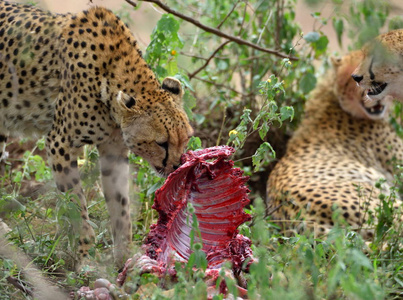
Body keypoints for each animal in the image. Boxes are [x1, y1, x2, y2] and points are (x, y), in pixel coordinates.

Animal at [0, 0, 194, 268]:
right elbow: (76, 205)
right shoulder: (59, 142)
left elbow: (120, 205)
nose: (176, 166)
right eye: (161, 143)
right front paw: (85, 257)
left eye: (186, 139)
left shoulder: (114, 149)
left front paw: (125, 257)